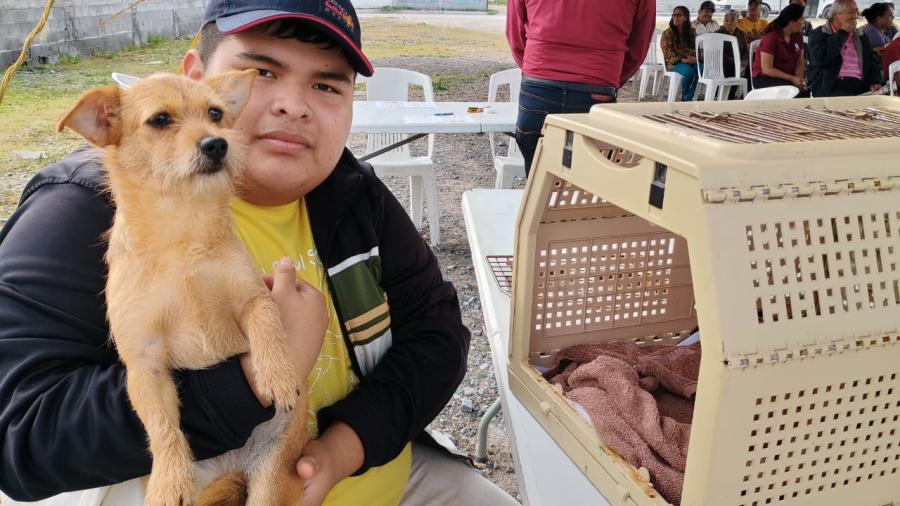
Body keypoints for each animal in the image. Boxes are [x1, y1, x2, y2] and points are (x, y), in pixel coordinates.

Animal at [59, 72, 310, 506]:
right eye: (160, 120)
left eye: (216, 114)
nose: (217, 143)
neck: (182, 233)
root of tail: (231, 467)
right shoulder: (144, 363)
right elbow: (161, 425)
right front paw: (169, 477)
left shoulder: (252, 296)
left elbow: (268, 323)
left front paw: (277, 372)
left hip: (271, 475)